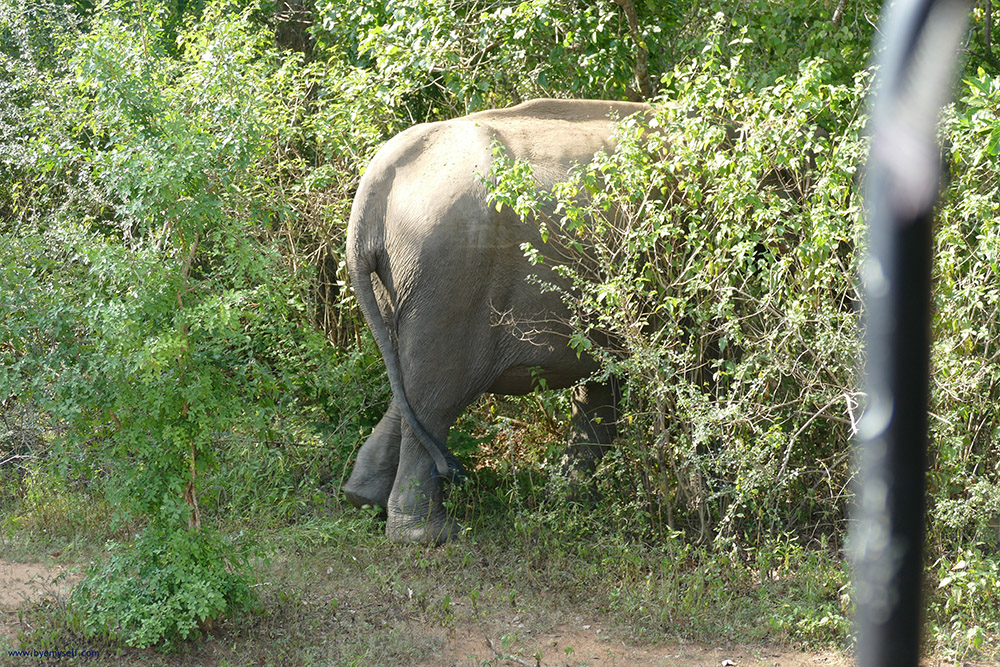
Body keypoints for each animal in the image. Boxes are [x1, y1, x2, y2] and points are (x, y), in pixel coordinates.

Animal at [344, 100, 652, 548]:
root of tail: (373, 187)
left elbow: (602, 386)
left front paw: (569, 502)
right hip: (451, 276)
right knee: (437, 397)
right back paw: (428, 535)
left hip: (405, 282)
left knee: (410, 387)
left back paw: (362, 499)